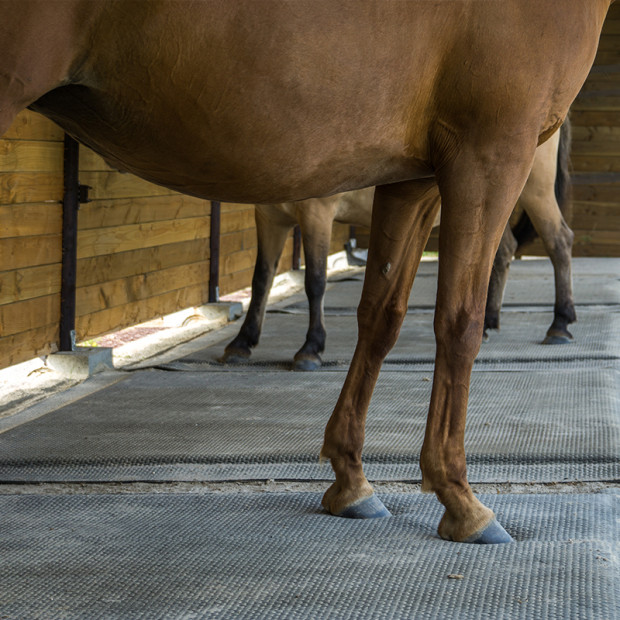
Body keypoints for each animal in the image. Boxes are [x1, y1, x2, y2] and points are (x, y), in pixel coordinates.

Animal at [222, 123, 572, 370]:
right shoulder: (269, 219)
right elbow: (261, 280)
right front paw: (242, 342)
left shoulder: (316, 215)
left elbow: (315, 282)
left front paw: (311, 348)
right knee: (502, 253)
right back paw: (488, 323)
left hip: (535, 193)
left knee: (559, 243)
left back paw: (560, 324)